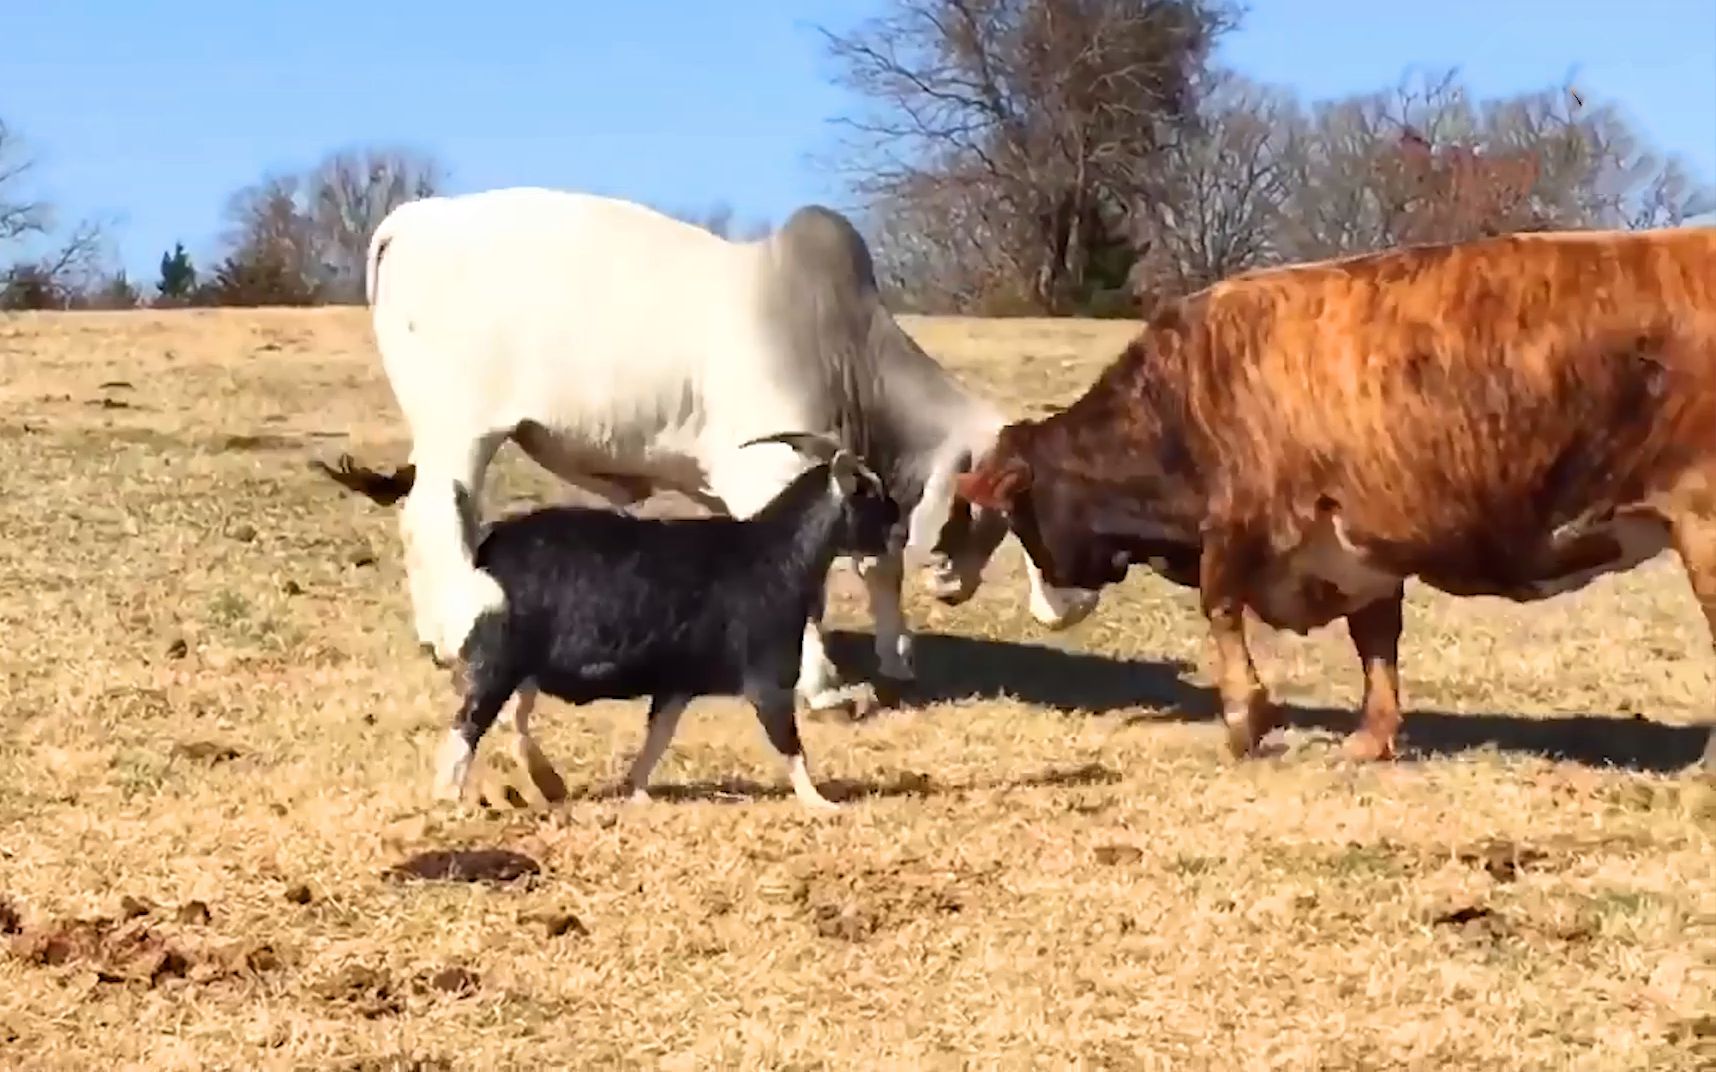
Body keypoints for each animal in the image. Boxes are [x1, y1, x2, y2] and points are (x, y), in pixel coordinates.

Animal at [324, 186, 1098, 710]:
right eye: (1017, 501)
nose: (1076, 602)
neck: (841, 345)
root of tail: (415, 216)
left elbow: (878, 566)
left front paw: (896, 657)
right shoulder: (771, 470)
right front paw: (823, 688)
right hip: (462, 429)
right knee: (438, 517)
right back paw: (456, 633)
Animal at [425, 430, 899, 806]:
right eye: (870, 491)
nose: (898, 520)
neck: (776, 552)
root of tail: (488, 550)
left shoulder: (678, 682)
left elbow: (659, 735)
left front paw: (635, 792)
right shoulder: (768, 676)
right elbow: (789, 743)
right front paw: (820, 803)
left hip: (523, 667)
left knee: (512, 718)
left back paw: (547, 782)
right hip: (500, 657)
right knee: (470, 724)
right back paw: (450, 797)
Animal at [954, 222, 1716, 768]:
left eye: (1016, 514)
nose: (1047, 604)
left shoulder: (1237, 519)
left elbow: (1220, 607)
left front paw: (1245, 722)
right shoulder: (1364, 539)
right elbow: (1376, 639)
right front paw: (1369, 739)